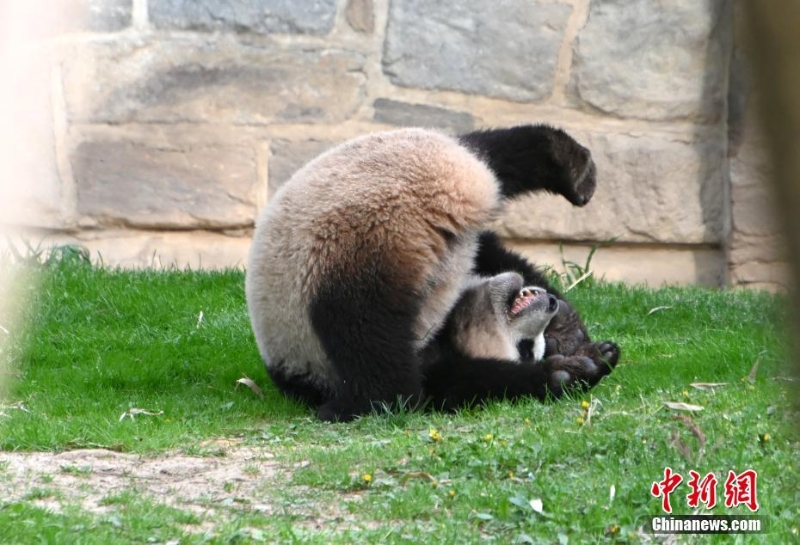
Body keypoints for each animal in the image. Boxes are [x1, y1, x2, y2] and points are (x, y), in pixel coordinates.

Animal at [247, 124, 620, 420]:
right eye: (527, 348)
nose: (549, 305)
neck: (451, 321)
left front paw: (572, 340)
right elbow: (448, 383)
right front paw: (568, 370)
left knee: (495, 157)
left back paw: (572, 168)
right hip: (353, 251)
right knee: (367, 337)